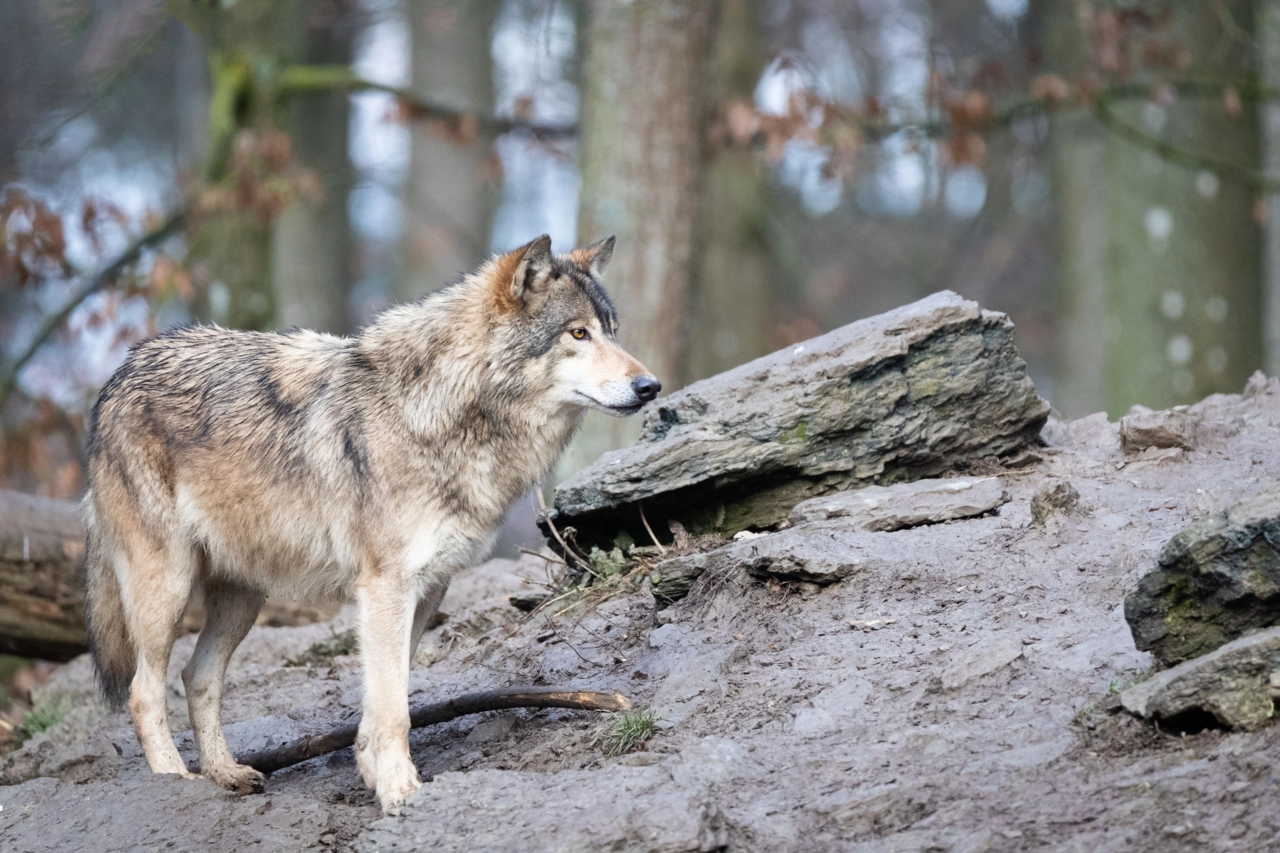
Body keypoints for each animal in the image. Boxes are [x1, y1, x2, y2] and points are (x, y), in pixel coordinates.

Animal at [81, 234, 660, 809]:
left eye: (611, 330)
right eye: (578, 333)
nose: (650, 386)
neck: (441, 414)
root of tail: (119, 374)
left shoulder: (429, 588)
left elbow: (388, 693)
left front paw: (371, 768)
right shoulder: (386, 587)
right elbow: (394, 707)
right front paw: (400, 790)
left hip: (243, 597)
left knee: (196, 676)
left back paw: (226, 773)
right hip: (169, 587)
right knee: (143, 691)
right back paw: (174, 783)